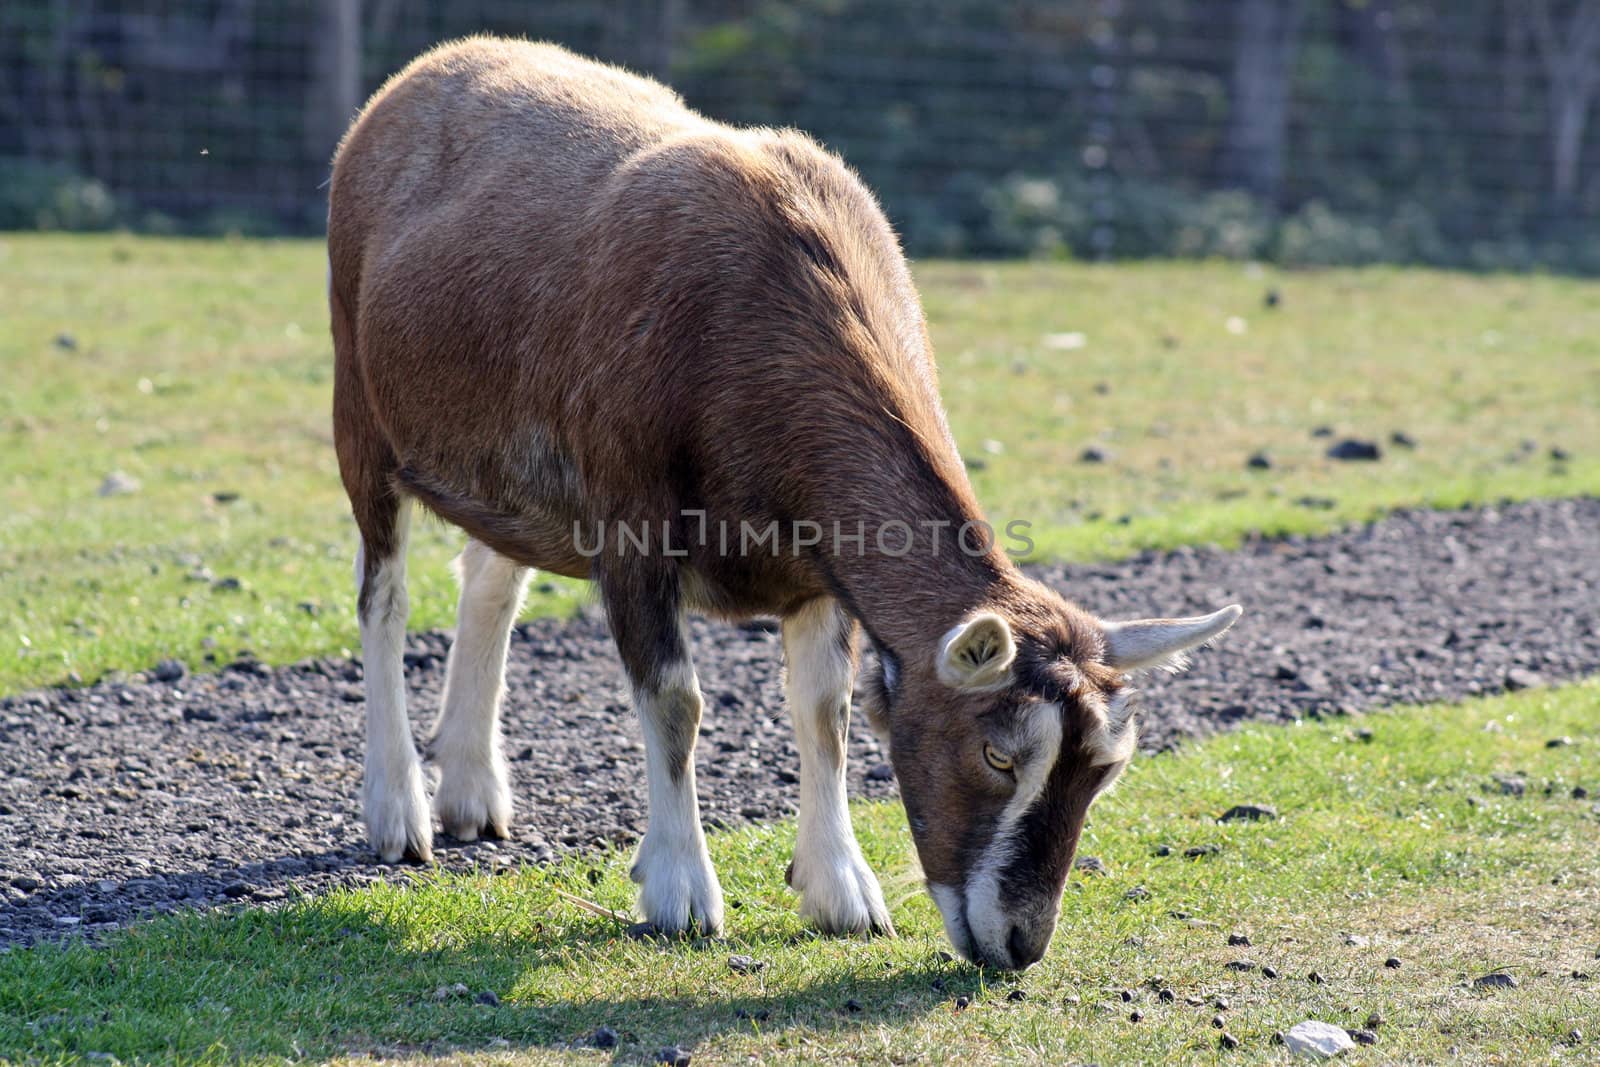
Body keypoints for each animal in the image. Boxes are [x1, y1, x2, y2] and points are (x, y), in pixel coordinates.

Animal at [331, 37, 1241, 972]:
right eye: (997, 752)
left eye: (1106, 769)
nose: (1020, 942)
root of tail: (424, 74)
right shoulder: (630, 526)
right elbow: (676, 700)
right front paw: (681, 890)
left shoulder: (816, 566)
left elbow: (824, 712)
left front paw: (842, 889)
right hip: (359, 408)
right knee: (384, 595)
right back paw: (398, 810)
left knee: (490, 575)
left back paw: (472, 793)